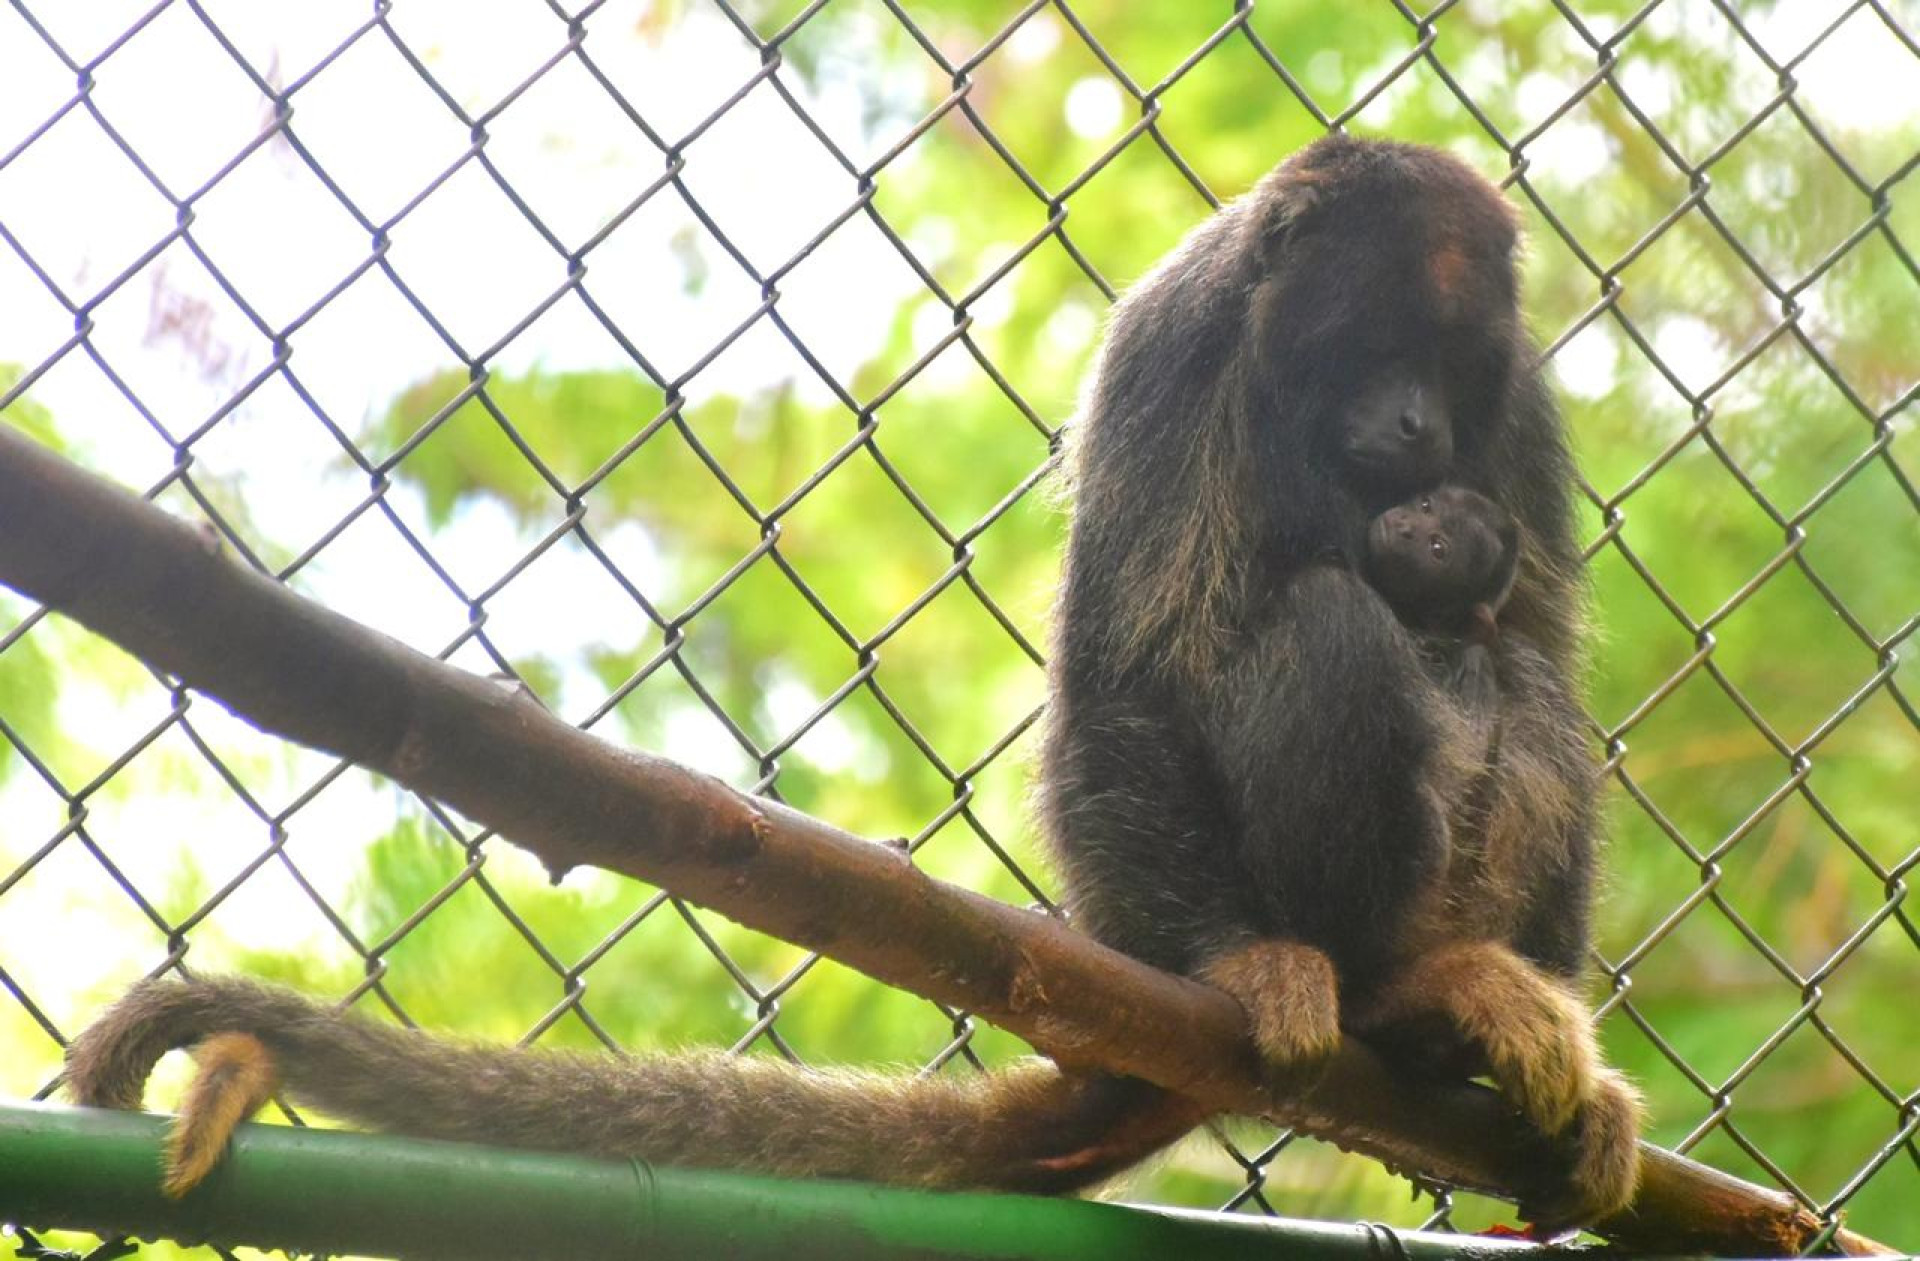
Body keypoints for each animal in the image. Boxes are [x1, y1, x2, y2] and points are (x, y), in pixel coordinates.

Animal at [65, 134, 1639, 1226]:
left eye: (1448, 361)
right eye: (1374, 347)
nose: (1419, 424)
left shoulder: (1522, 399)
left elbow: (1540, 633)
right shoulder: (1178, 345)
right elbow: (1126, 666)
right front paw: (1242, 960)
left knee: (1523, 682)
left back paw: (1456, 1001)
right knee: (1326, 624)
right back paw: (1386, 986)